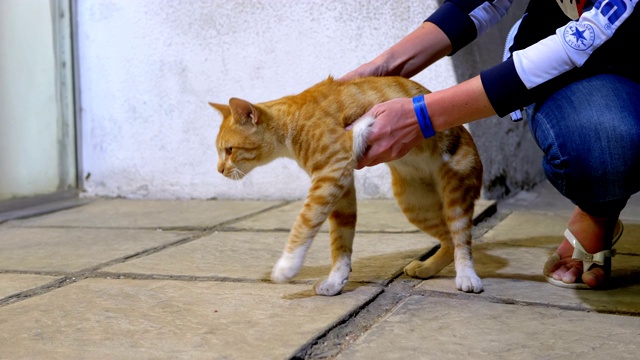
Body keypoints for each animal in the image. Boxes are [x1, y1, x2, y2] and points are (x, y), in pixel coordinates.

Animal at [208, 76, 482, 296]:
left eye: (229, 150)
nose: (219, 170)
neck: (291, 122)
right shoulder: (341, 185)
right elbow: (340, 241)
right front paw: (335, 281)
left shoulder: (331, 173)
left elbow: (304, 222)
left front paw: (287, 266)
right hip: (415, 205)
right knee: (448, 239)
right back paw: (427, 268)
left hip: (455, 194)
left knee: (462, 238)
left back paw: (467, 276)